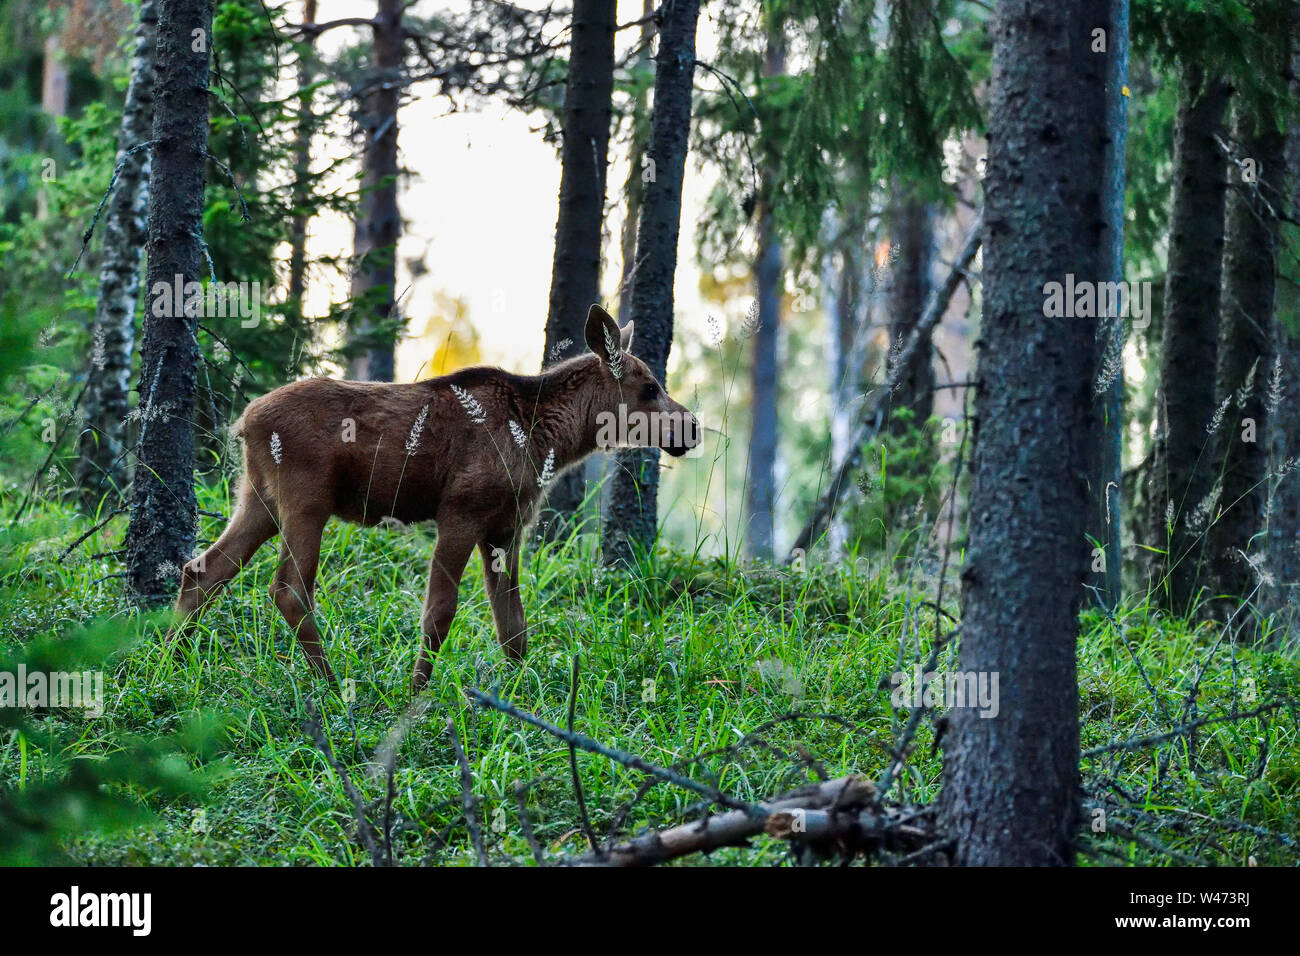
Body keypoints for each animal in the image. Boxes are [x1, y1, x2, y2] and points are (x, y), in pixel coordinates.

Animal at [176, 306, 702, 686]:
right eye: (649, 387)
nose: (691, 427)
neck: (549, 438)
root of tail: (243, 422)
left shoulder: (508, 527)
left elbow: (513, 627)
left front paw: (519, 694)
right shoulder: (460, 513)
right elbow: (439, 614)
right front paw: (416, 692)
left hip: (258, 499)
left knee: (204, 569)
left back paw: (168, 658)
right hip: (306, 501)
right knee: (288, 589)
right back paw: (330, 683)